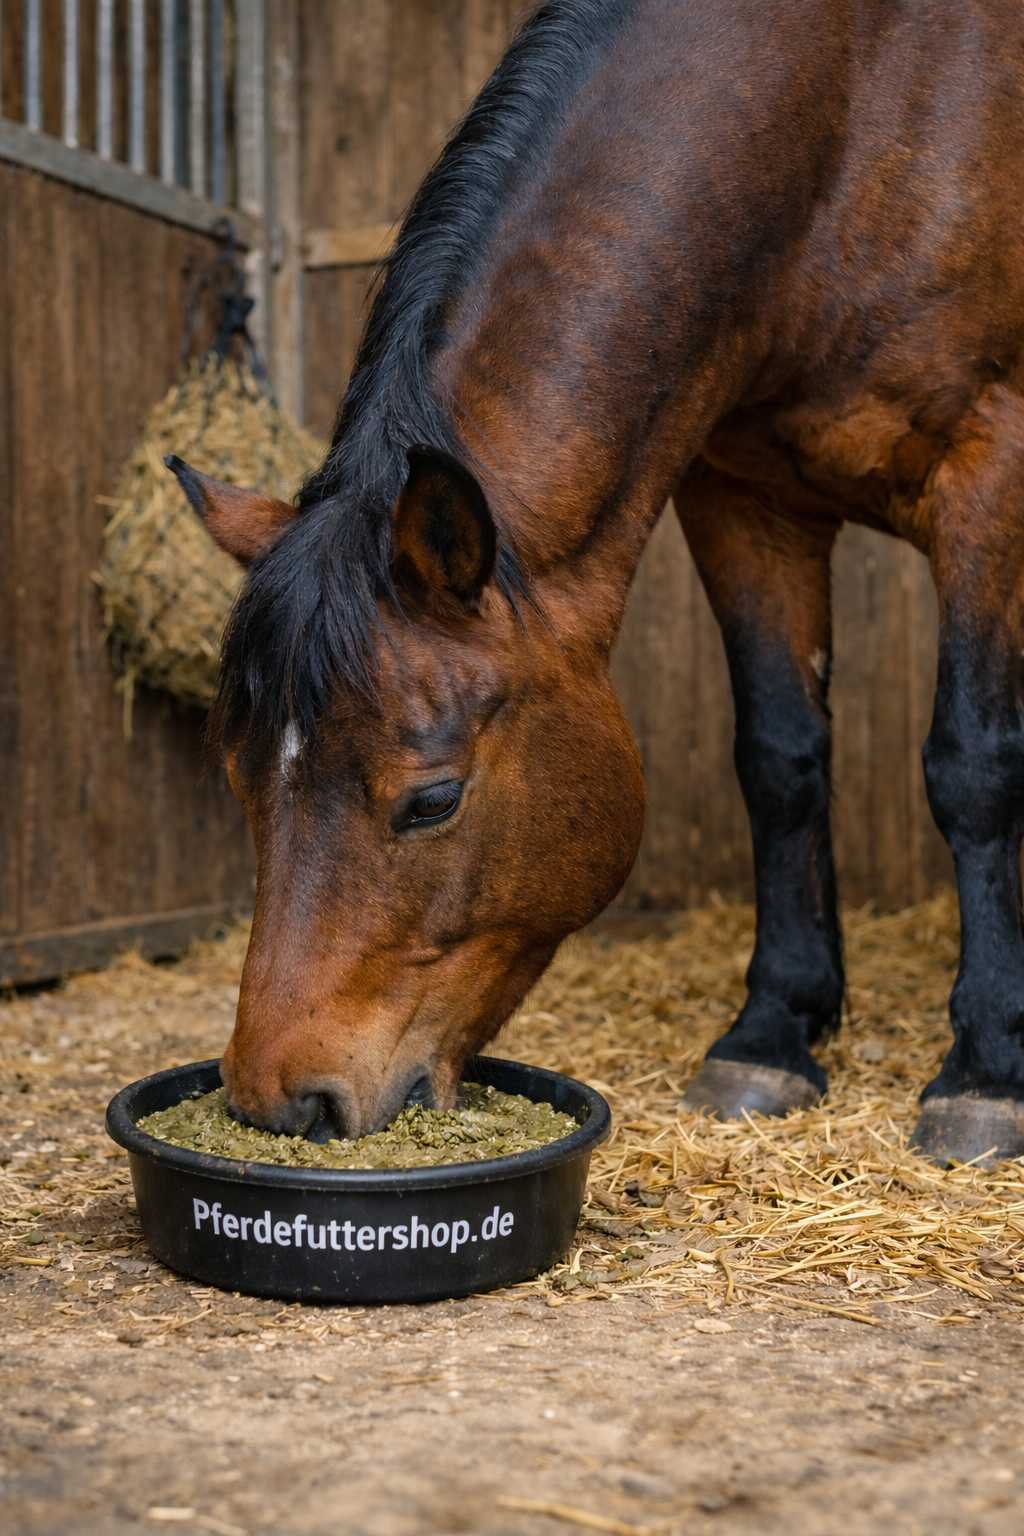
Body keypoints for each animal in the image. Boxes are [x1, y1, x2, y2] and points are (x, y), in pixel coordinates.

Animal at [170, 0, 1024, 1165]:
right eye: (241, 779)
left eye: (432, 802)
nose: (278, 1102)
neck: (860, 111)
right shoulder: (742, 499)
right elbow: (782, 762)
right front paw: (771, 1035)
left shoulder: (990, 466)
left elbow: (973, 767)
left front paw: (984, 1069)